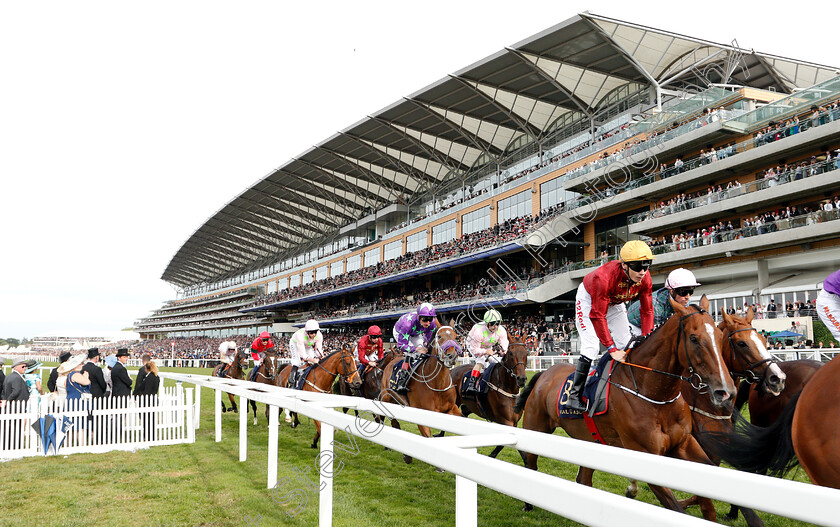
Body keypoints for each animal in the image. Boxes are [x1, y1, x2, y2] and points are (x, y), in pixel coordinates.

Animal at [378, 326, 462, 466]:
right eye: (439, 336)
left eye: (456, 336)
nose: (452, 355)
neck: (437, 384)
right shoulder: (421, 412)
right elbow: (427, 436)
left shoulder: (452, 409)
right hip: (387, 398)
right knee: (393, 422)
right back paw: (405, 454)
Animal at [516, 296, 732, 520]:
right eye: (694, 338)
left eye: (719, 336)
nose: (725, 391)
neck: (655, 395)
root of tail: (545, 373)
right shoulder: (646, 454)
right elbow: (675, 508)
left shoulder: (684, 444)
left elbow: (708, 501)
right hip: (536, 429)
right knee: (530, 464)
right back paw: (528, 503)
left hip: (589, 441)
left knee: (583, 479)